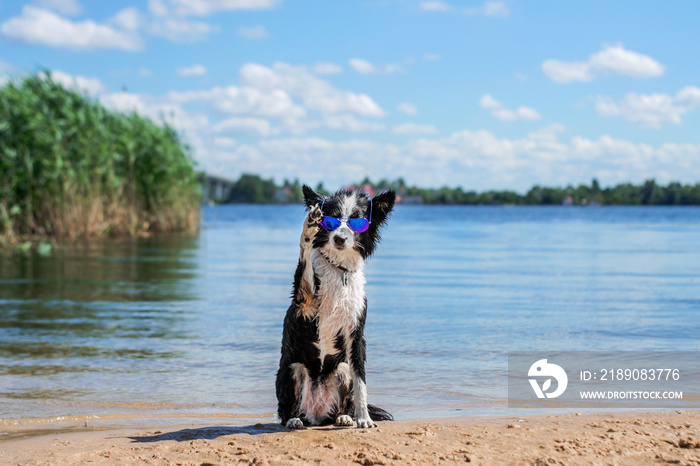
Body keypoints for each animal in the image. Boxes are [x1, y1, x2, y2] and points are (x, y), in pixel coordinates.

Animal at [276, 185, 396, 430]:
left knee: (341, 404)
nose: (339, 238)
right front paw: (309, 227)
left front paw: (364, 418)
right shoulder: (306, 302)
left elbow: (361, 381)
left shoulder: (356, 333)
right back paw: (294, 419)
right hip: (294, 369)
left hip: (341, 369)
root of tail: (316, 415)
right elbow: (305, 257)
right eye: (330, 220)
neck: (339, 270)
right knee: (287, 411)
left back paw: (344, 417)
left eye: (357, 220)